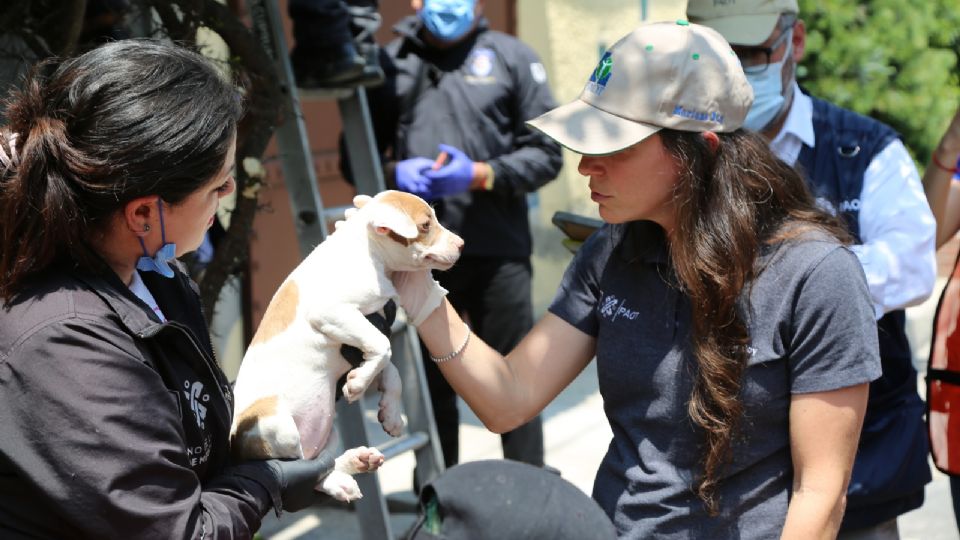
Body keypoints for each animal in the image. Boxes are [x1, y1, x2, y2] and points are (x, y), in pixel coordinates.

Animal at [229, 191, 462, 502]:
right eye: (425, 225)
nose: (461, 244)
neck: (368, 253)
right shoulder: (333, 312)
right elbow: (383, 346)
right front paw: (359, 385)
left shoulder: (369, 326)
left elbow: (392, 369)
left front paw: (390, 412)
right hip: (276, 425)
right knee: (305, 470)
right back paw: (340, 478)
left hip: (329, 429)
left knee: (323, 461)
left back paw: (356, 461)